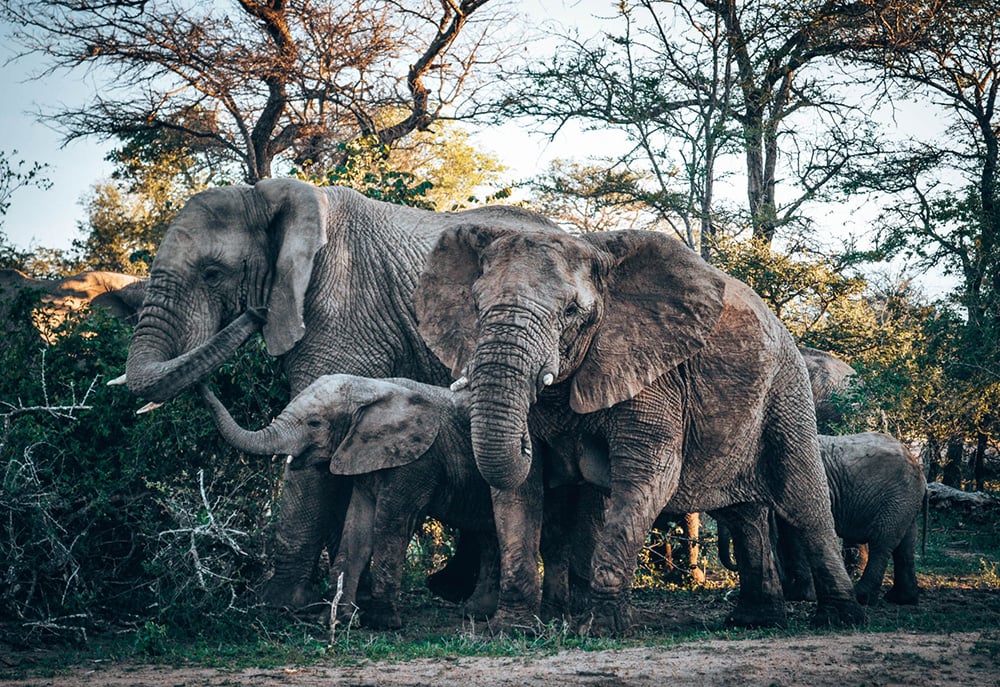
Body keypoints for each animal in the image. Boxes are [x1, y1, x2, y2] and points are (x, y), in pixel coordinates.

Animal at [117, 177, 564, 612]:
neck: (272, 197)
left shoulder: (345, 311)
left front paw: (279, 605)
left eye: (212, 274)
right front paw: (345, 600)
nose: (254, 312)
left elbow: (314, 464)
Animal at [410, 226, 864, 636]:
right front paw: (512, 629)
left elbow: (648, 476)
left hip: (787, 390)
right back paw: (754, 621)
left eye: (572, 311)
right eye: (476, 304)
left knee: (804, 501)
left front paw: (600, 630)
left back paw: (839, 618)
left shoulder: (652, 373)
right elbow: (519, 492)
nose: (524, 438)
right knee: (743, 514)